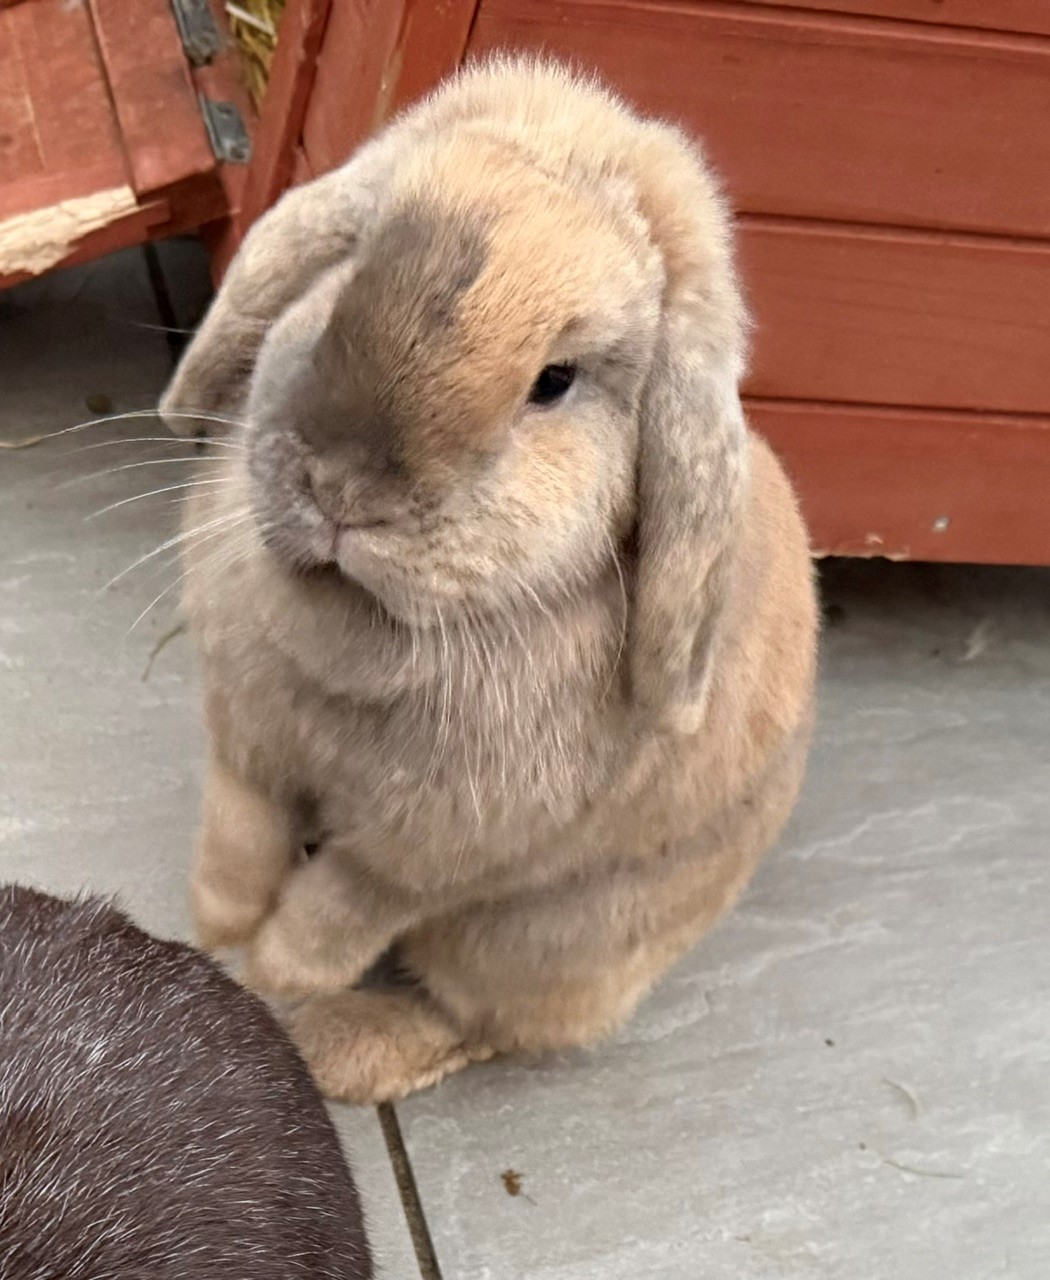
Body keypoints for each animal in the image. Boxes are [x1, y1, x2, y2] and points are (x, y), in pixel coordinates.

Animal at [158, 57, 819, 1104]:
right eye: (353, 267)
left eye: (555, 381)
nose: (344, 492)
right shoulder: (247, 749)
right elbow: (238, 836)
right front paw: (214, 923)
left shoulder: (419, 860)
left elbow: (336, 911)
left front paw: (271, 971)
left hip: (530, 943)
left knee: (483, 1023)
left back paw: (343, 1048)